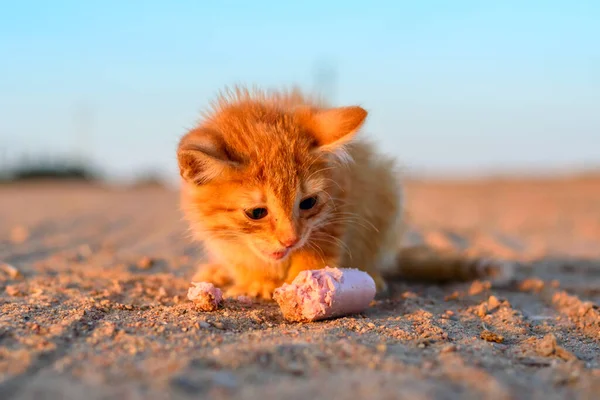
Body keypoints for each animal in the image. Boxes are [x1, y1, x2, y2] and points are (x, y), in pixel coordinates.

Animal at [175, 87, 510, 300]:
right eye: (257, 212)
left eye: (308, 203)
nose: (290, 240)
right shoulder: (219, 236)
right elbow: (240, 258)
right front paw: (255, 281)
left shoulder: (338, 207)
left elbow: (319, 248)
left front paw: (303, 283)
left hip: (387, 191)